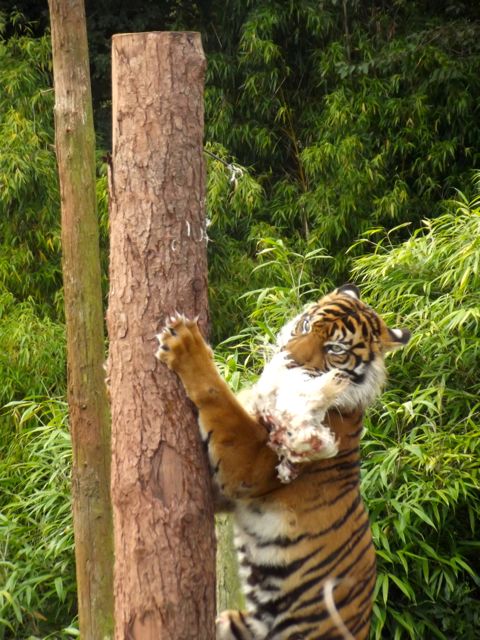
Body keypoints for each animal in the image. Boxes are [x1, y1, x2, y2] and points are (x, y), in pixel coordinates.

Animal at [156, 284, 410, 640]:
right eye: (306, 326)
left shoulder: (247, 466)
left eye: (335, 349)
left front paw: (186, 345)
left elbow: (220, 398)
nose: (289, 359)